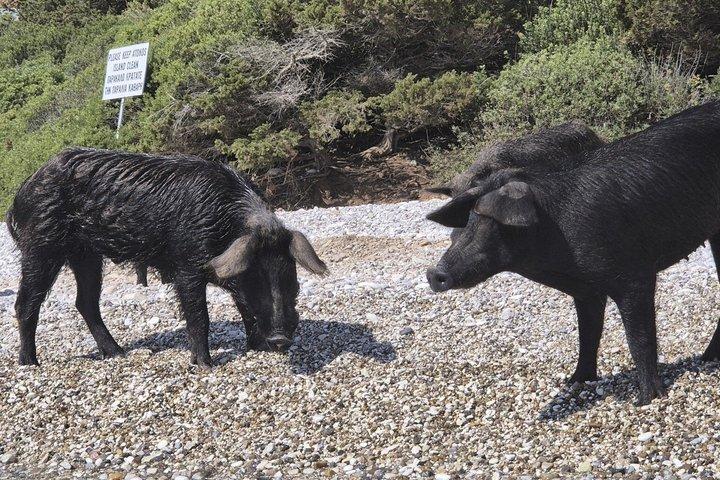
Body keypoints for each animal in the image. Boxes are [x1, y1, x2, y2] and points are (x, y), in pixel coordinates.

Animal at [6, 148, 328, 367]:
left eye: (291, 277)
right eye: (256, 276)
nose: (280, 339)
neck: (224, 224)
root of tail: (22, 191)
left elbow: (243, 307)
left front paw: (257, 348)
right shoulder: (186, 265)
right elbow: (199, 316)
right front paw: (206, 365)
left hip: (87, 255)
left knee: (85, 303)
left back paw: (118, 354)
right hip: (42, 245)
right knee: (26, 303)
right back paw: (30, 363)